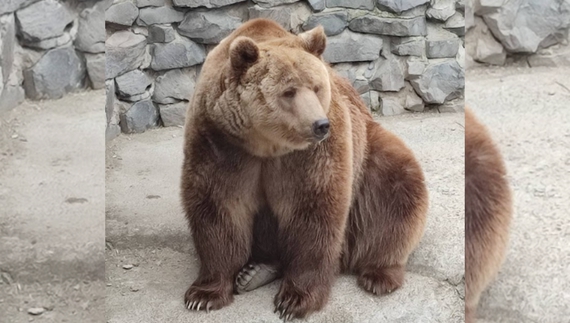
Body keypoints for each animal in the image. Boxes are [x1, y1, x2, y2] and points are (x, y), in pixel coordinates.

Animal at [181, 19, 426, 320]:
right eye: (289, 91)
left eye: (317, 87)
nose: (319, 124)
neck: (266, 145)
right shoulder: (219, 142)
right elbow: (218, 207)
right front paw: (203, 294)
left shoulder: (312, 155)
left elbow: (312, 212)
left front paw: (295, 300)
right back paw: (255, 271)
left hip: (371, 159)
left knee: (398, 192)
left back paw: (379, 275)